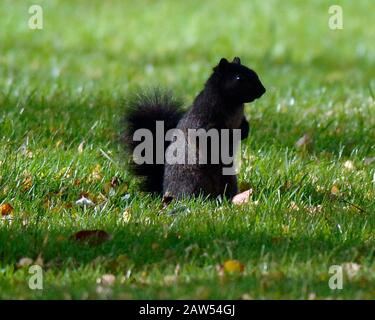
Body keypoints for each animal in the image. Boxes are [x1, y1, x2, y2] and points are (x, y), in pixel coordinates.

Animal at [122, 56, 266, 199]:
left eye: (253, 72)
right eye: (238, 78)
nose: (263, 90)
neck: (234, 104)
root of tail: (164, 191)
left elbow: (244, 124)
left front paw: (245, 131)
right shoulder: (202, 120)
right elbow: (208, 136)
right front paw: (231, 135)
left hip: (229, 178)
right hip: (193, 180)